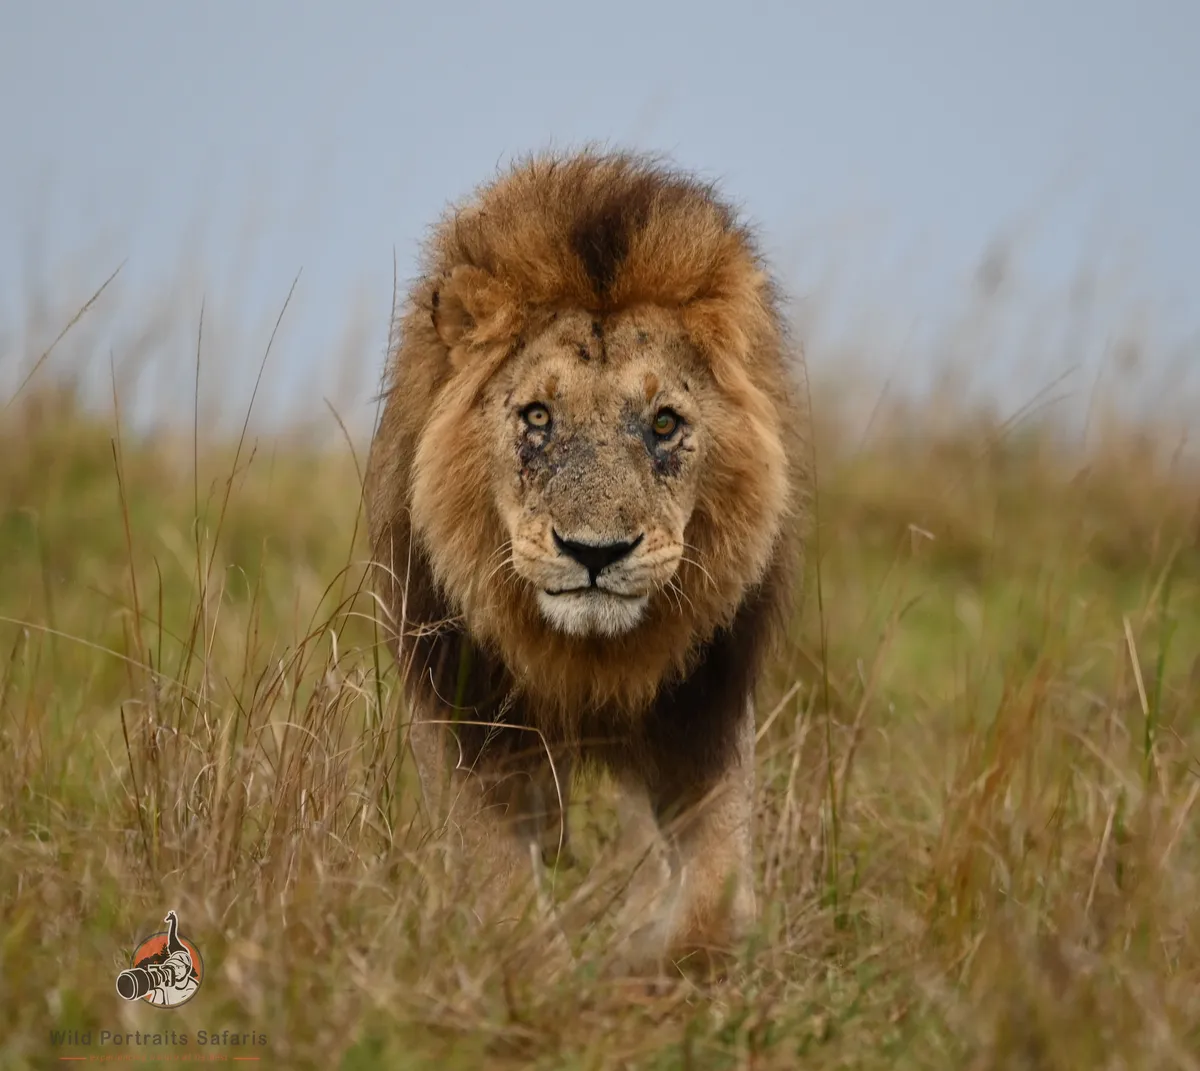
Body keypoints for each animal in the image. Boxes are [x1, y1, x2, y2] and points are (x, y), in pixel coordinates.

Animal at [365, 148, 811, 974]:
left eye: (664, 423)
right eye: (538, 417)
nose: (595, 551)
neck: (588, 661)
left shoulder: (703, 714)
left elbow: (714, 899)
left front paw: (653, 961)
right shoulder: (466, 719)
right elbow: (502, 893)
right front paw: (543, 971)